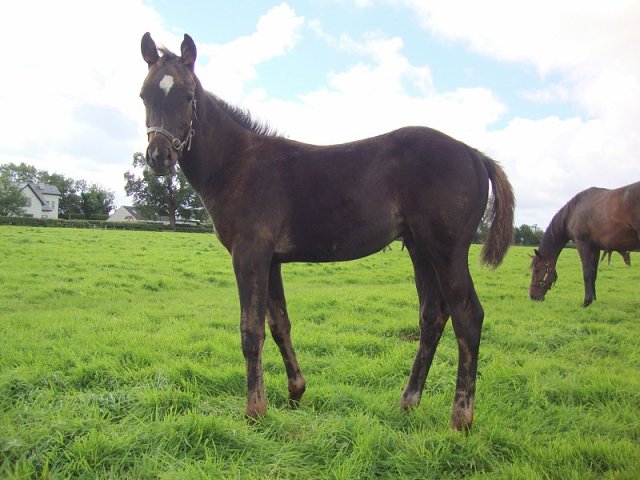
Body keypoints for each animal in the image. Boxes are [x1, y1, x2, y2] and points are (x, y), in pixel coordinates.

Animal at [140, 33, 516, 432]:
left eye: (187, 96)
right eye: (144, 95)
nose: (159, 157)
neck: (238, 163)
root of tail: (475, 154)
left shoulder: (249, 253)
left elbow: (250, 329)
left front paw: (255, 411)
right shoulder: (271, 259)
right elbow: (279, 323)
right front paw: (295, 392)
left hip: (447, 250)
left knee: (468, 316)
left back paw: (460, 418)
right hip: (420, 248)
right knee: (432, 316)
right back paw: (408, 402)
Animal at [528, 180, 640, 308]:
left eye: (537, 270)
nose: (532, 296)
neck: (572, 213)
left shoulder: (583, 244)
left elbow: (587, 273)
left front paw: (586, 301)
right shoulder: (595, 248)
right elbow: (593, 273)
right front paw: (593, 299)